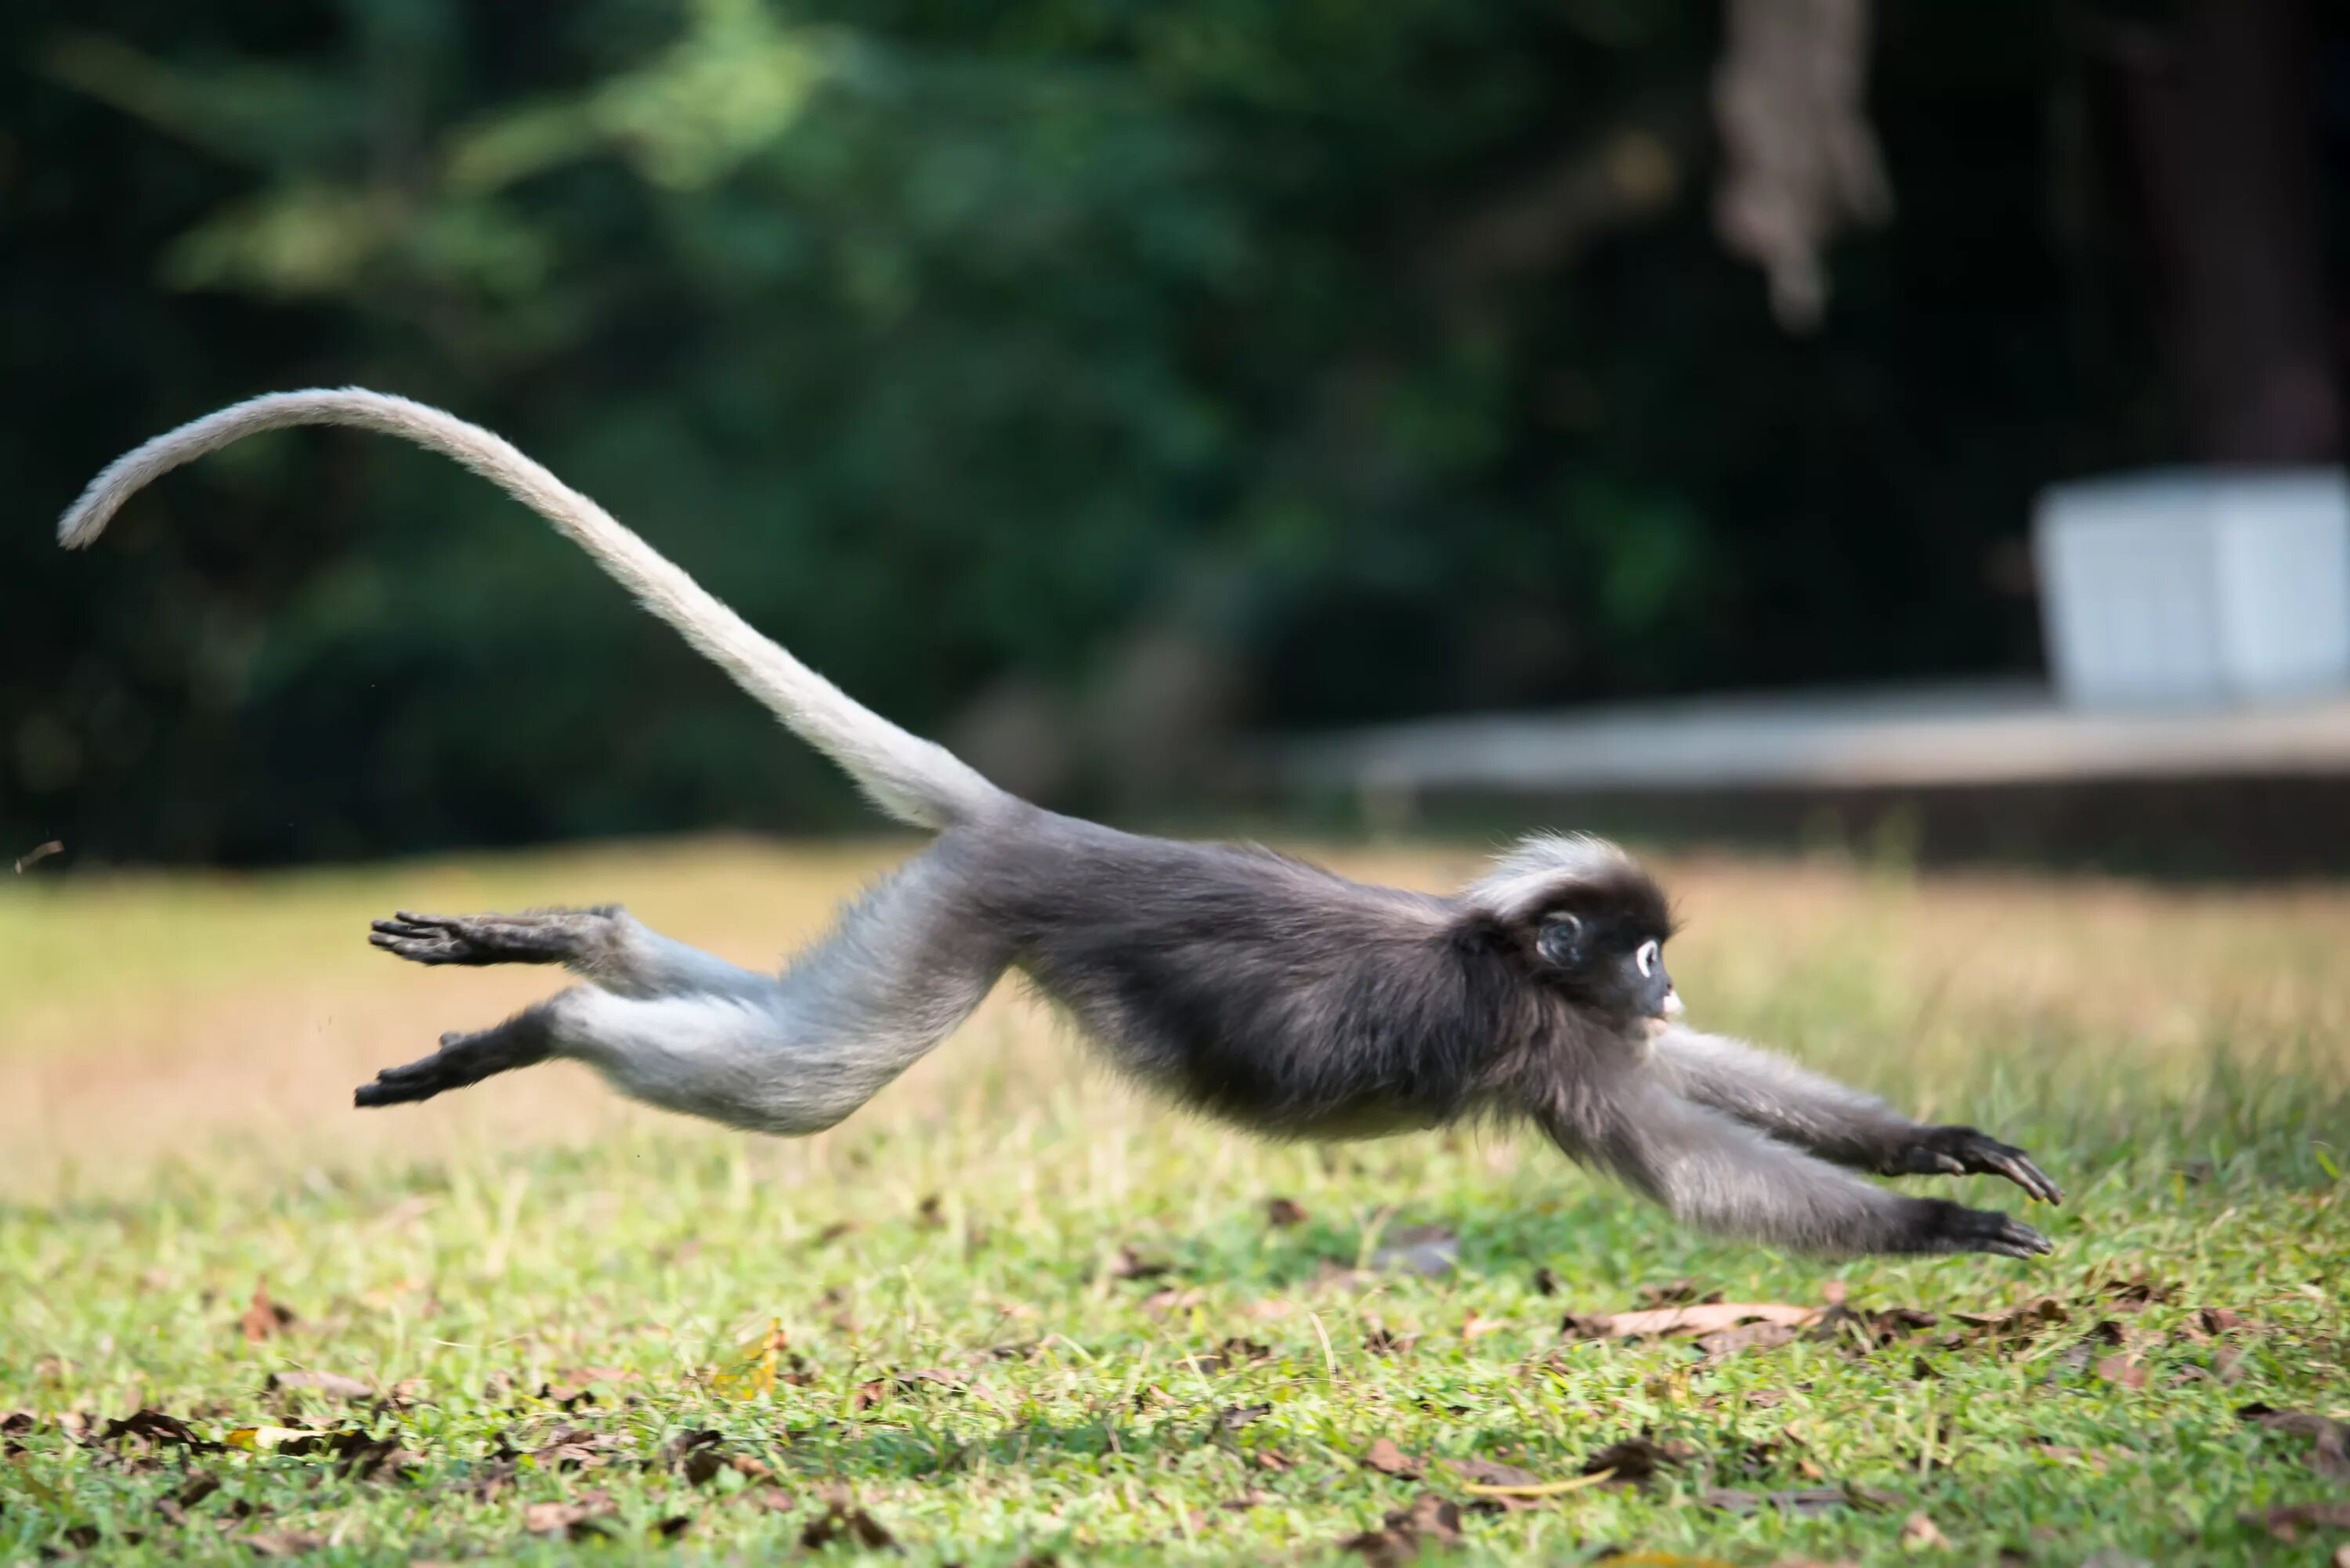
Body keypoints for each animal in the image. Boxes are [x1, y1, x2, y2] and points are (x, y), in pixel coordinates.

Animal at [55, 392, 2059, 1259]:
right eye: (1635, 947)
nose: (1651, 986)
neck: (1499, 949)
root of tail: (1049, 820)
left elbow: (1725, 1089)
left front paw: (1939, 1141)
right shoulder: (1533, 1041)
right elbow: (1700, 1163)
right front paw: (1938, 1228)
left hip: (935, 906)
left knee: (776, 1019)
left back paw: (565, 948)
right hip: (969, 923)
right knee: (809, 1076)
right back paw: (539, 1015)